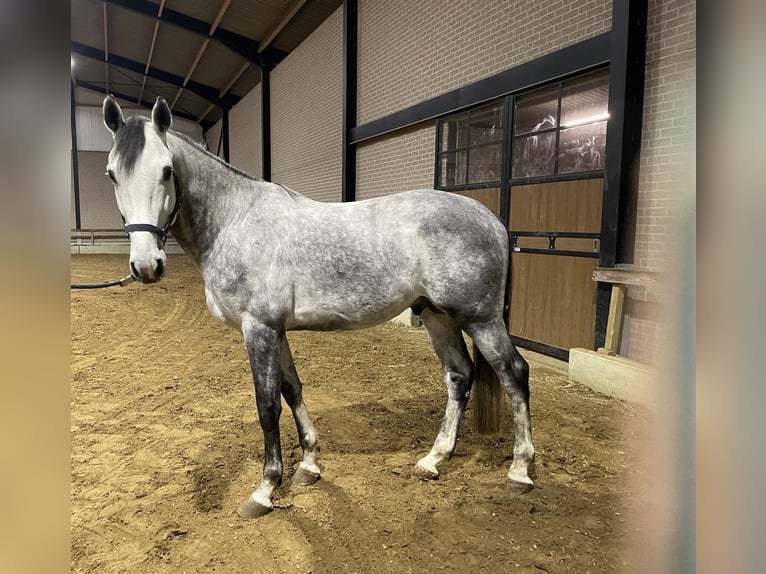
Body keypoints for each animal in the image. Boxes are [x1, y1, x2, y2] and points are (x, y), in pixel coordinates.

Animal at [100, 97, 536, 520]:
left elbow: (267, 405)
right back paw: (433, 460)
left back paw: (519, 470)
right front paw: (309, 464)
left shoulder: (258, 328)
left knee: (514, 373)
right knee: (459, 376)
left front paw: (265, 489)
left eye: (167, 171)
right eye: (111, 175)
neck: (235, 221)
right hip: (436, 315)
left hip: (480, 318)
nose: (146, 266)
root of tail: (492, 218)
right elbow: (292, 389)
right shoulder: (276, 330)